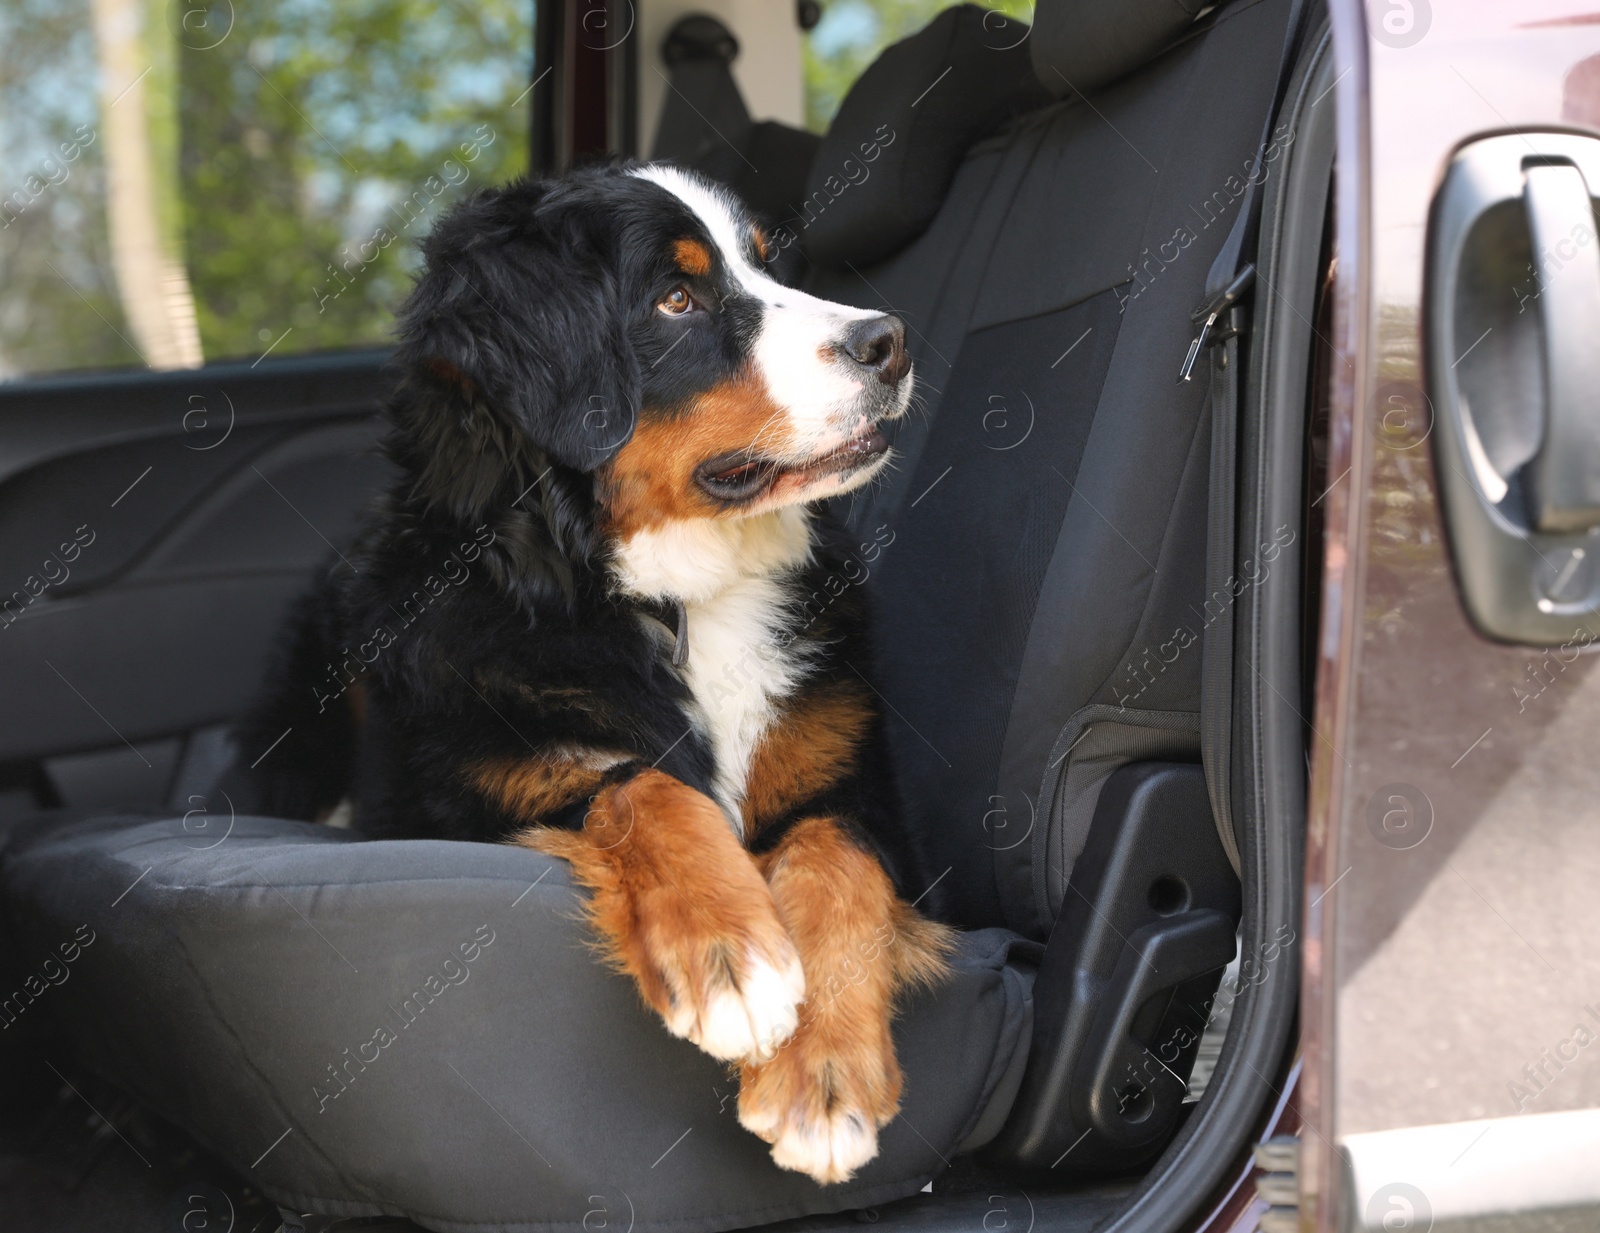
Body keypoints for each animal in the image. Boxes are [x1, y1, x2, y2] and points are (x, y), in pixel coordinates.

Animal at [233, 163, 953, 1183]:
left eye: (768, 265)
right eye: (676, 297)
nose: (886, 341)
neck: (684, 599)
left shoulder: (862, 787)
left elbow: (836, 858)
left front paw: (823, 1075)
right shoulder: (476, 788)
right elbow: (634, 784)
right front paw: (731, 954)